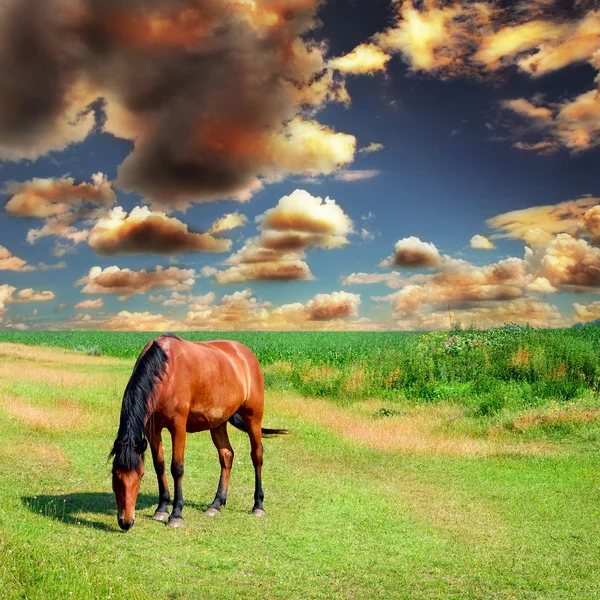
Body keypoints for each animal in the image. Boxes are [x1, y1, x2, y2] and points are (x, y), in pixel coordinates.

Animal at [110, 332, 288, 528]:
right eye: (115, 475)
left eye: (140, 475)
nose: (126, 522)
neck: (165, 373)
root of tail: (247, 355)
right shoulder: (152, 429)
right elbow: (159, 466)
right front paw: (162, 509)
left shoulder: (178, 426)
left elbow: (177, 468)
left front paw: (176, 515)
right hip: (218, 423)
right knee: (227, 455)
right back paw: (216, 504)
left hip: (253, 417)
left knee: (257, 456)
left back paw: (258, 506)